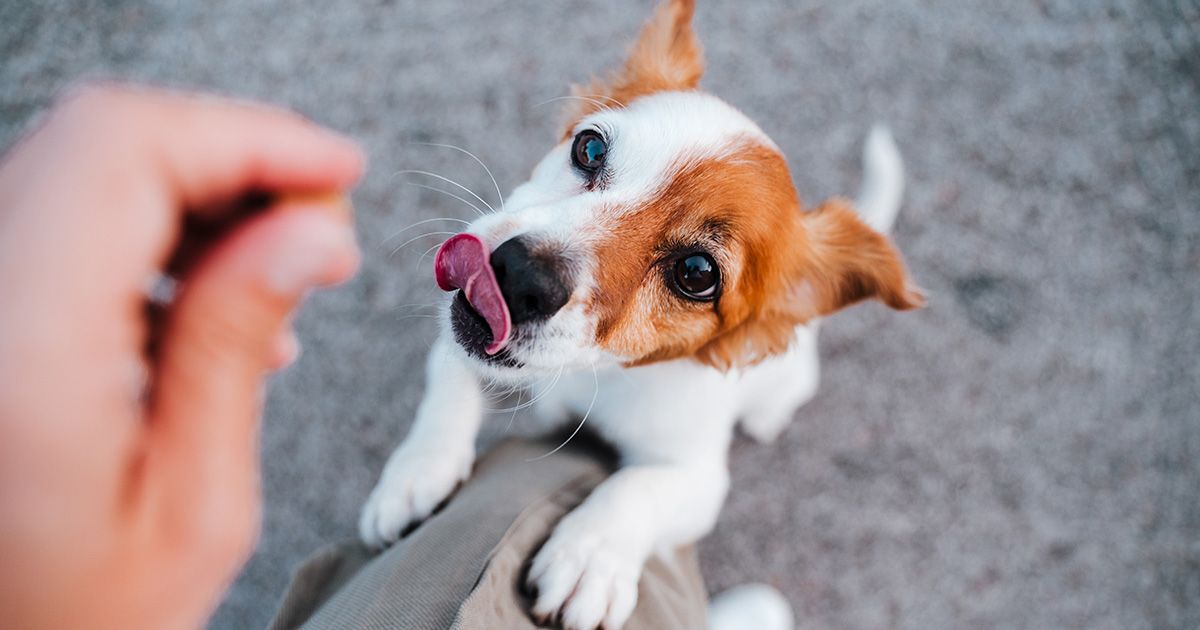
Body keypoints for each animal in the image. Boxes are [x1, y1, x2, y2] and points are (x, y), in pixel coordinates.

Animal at [355, 2, 916, 624]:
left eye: (696, 273)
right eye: (589, 149)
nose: (520, 276)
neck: (591, 375)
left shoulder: (699, 478)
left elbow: (640, 487)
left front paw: (588, 556)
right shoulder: (464, 345)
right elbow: (449, 380)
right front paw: (416, 473)